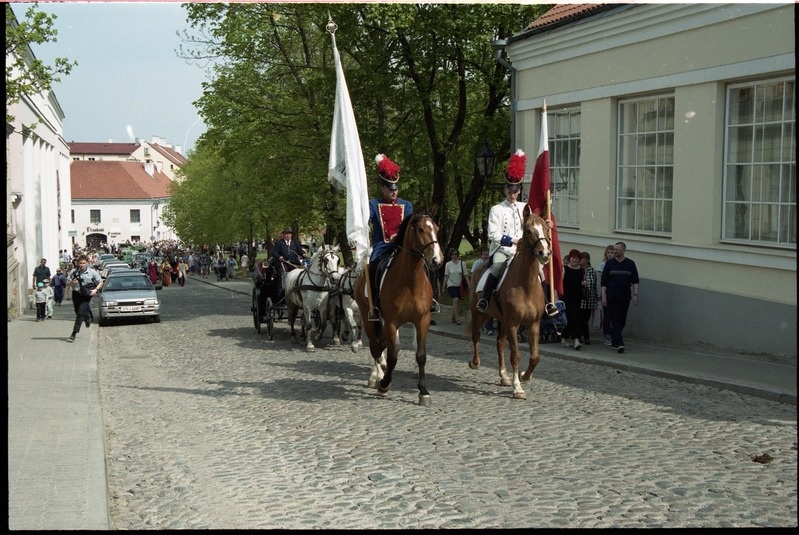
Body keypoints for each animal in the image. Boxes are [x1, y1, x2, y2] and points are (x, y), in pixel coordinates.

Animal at [354, 213, 444, 406]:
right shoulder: (391, 322)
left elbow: (420, 355)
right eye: (420, 229)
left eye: (437, 228)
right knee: (375, 346)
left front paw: (423, 392)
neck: (410, 281)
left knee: (381, 345)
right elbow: (392, 356)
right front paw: (384, 384)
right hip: (368, 317)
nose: (437, 260)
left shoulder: (422, 320)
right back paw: (376, 377)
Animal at [466, 207, 552, 400]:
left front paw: (524, 376)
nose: (545, 253)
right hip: (480, 313)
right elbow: (515, 355)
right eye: (528, 230)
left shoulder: (533, 323)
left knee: (499, 342)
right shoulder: (514, 323)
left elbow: (535, 356)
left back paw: (504, 375)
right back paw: (475, 362)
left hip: (503, 320)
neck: (525, 284)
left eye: (545, 228)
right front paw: (517, 387)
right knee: (476, 335)